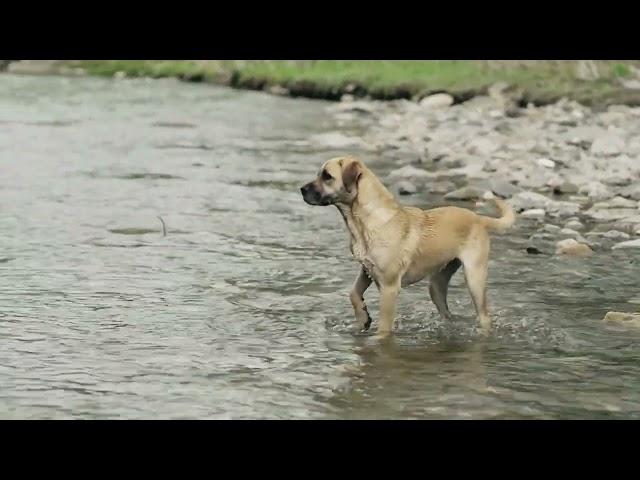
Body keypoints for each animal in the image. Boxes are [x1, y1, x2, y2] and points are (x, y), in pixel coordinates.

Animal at [300, 156, 516, 336]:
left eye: (327, 176)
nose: (301, 189)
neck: (363, 220)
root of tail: (479, 218)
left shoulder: (389, 287)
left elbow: (384, 327)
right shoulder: (366, 269)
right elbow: (353, 293)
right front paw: (363, 318)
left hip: (474, 278)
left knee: (484, 316)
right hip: (436, 285)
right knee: (447, 313)